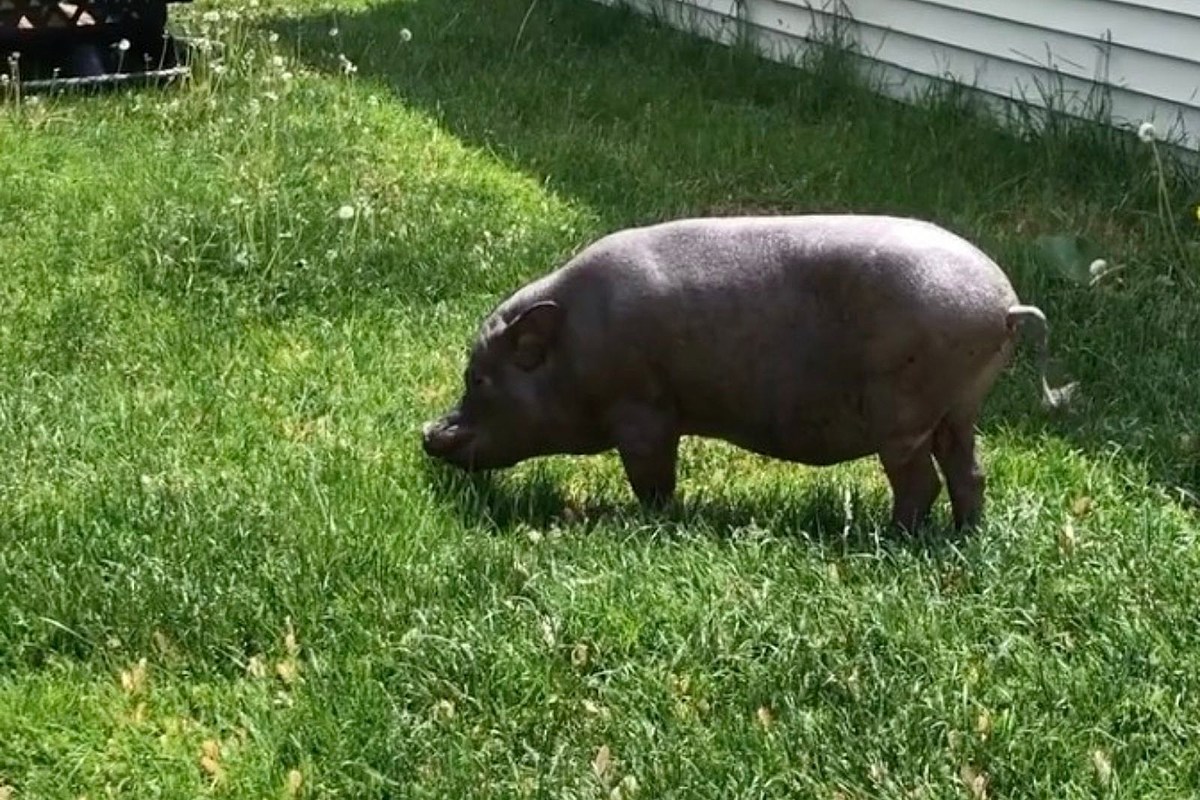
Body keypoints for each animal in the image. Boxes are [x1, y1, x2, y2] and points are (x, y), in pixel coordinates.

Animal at [422, 215, 1080, 534]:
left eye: (478, 378)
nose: (427, 433)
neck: (577, 349)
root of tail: (1006, 305)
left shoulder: (644, 415)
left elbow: (652, 480)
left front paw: (648, 522)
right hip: (959, 408)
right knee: (971, 473)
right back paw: (963, 537)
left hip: (904, 414)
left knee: (921, 484)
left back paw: (892, 540)